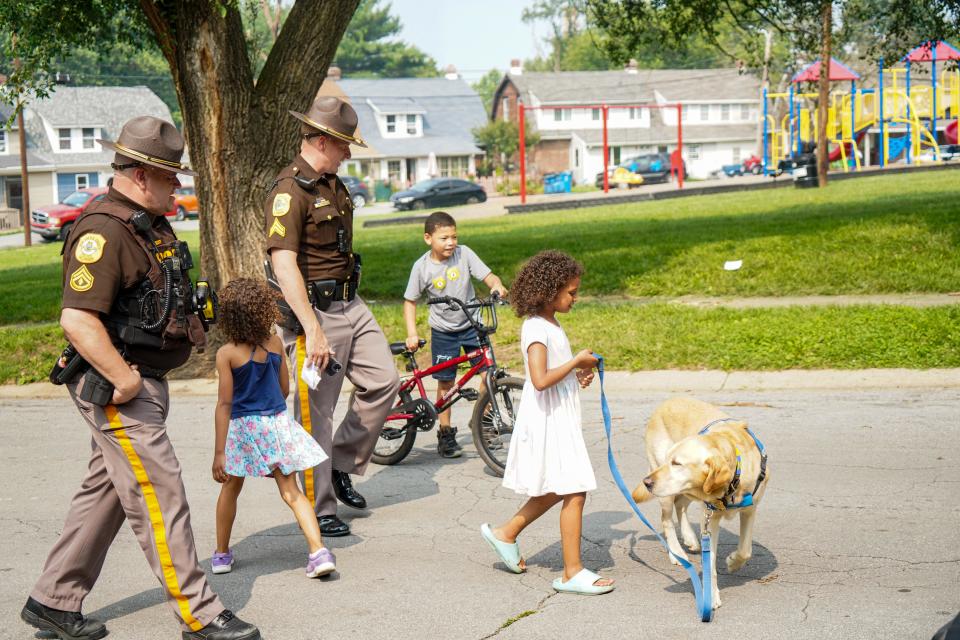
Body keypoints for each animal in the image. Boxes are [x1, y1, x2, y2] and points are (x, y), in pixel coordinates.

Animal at [632, 396, 768, 608]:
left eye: (676, 463)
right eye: (669, 461)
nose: (646, 482)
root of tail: (668, 400)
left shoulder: (750, 509)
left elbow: (746, 549)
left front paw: (733, 562)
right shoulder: (710, 517)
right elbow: (710, 562)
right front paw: (711, 595)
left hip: (687, 490)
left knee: (680, 505)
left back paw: (689, 538)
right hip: (667, 490)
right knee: (666, 520)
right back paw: (677, 552)